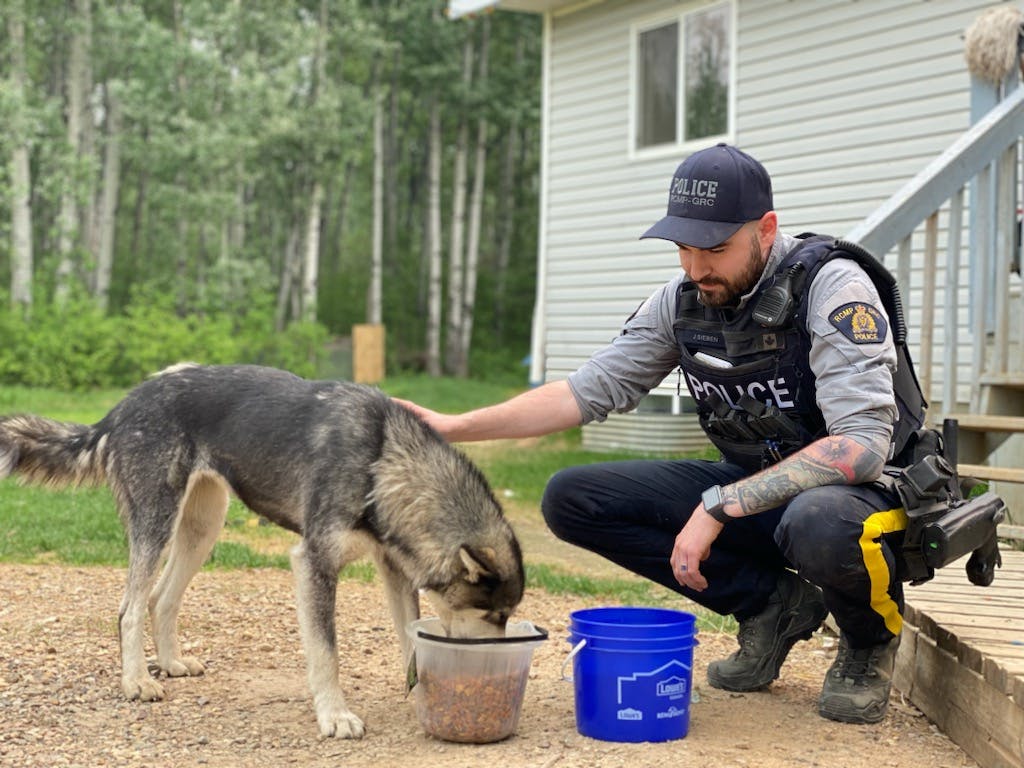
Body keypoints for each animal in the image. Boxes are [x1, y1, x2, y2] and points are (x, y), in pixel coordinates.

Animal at [0, 366, 524, 741]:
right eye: (494, 614)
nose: (497, 658)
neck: (381, 459)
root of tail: (122, 407)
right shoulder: (315, 564)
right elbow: (327, 653)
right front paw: (334, 715)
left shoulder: (393, 570)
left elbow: (410, 635)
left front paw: (424, 687)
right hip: (157, 524)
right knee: (129, 607)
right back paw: (136, 683)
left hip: (202, 530)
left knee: (160, 599)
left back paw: (169, 663)